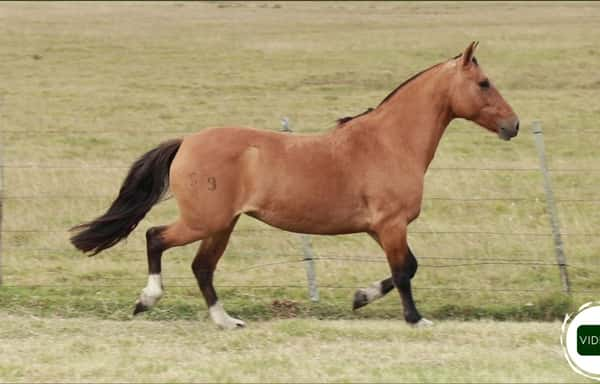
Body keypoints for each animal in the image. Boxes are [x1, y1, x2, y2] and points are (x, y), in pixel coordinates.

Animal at [72, 43, 516, 328]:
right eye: (484, 83)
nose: (512, 125)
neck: (390, 142)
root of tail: (187, 141)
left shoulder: (380, 228)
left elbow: (407, 267)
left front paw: (360, 297)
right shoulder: (391, 225)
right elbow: (404, 270)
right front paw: (415, 319)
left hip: (222, 225)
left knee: (202, 267)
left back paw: (225, 321)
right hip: (205, 221)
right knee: (155, 237)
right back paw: (148, 300)